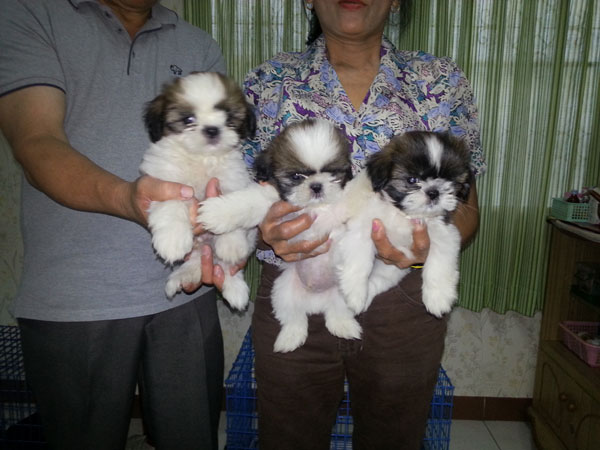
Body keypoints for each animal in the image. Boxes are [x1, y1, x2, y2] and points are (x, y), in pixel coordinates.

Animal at [139, 71, 257, 310]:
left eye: (228, 118)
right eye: (188, 120)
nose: (212, 129)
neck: (202, 158)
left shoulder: (233, 180)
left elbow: (231, 208)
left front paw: (231, 244)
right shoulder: (165, 180)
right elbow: (171, 205)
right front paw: (172, 240)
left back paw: (235, 288)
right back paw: (182, 275)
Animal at [198, 119, 362, 352]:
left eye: (332, 174)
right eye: (296, 177)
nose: (316, 186)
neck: (316, 208)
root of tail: (317, 302)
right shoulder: (272, 201)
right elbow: (247, 202)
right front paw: (217, 212)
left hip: (339, 292)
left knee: (338, 311)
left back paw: (344, 325)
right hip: (283, 290)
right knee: (294, 317)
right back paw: (291, 337)